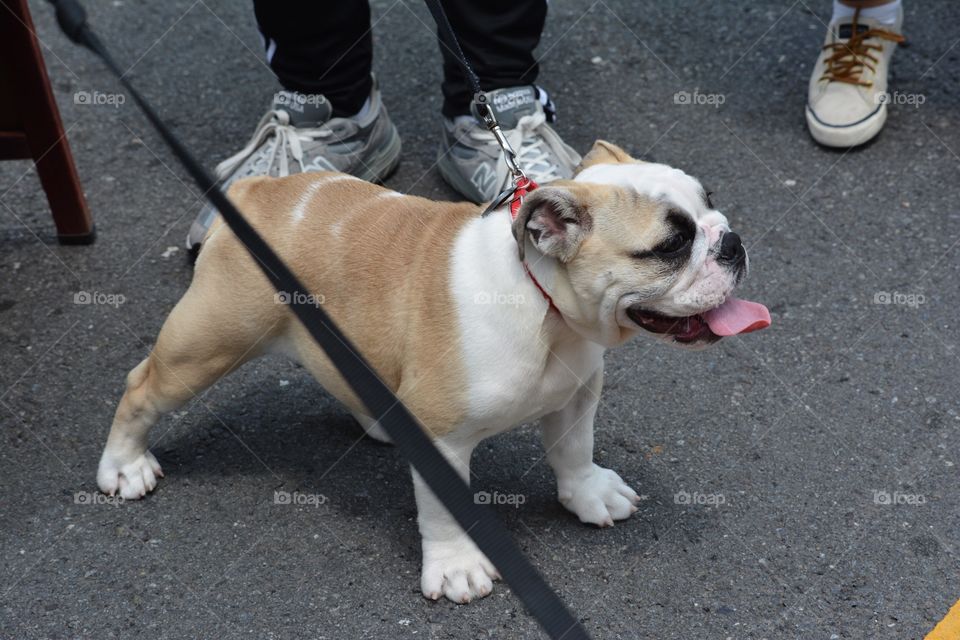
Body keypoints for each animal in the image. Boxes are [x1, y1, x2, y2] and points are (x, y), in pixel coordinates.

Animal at [97, 140, 768, 604]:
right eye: (670, 246)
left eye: (710, 204)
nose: (732, 241)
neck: (546, 307)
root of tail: (258, 190)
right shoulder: (444, 440)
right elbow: (447, 512)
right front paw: (456, 567)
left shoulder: (576, 397)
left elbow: (574, 451)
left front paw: (588, 494)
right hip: (208, 341)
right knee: (142, 388)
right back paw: (124, 466)